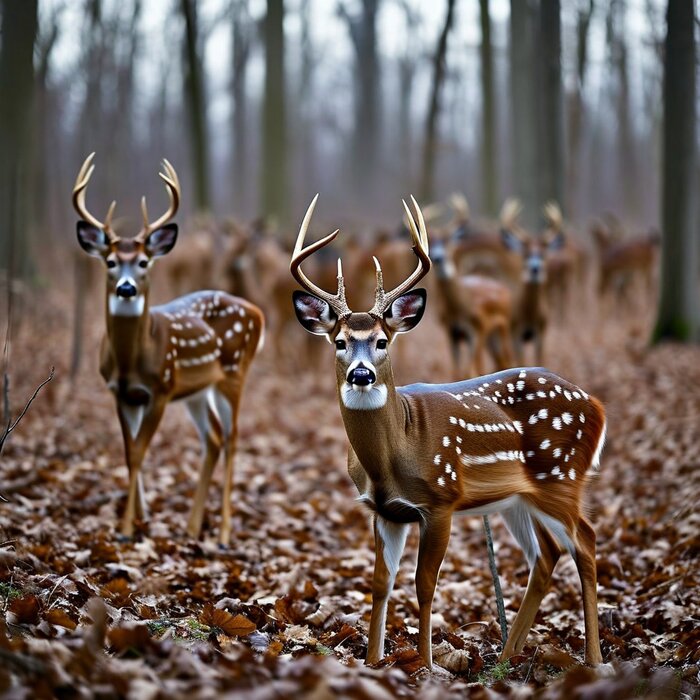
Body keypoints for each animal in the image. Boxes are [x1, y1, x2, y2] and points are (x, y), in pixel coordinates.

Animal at [73, 153, 266, 548]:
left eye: (144, 262)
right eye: (110, 261)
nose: (127, 288)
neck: (131, 361)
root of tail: (257, 311)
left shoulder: (160, 388)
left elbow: (139, 451)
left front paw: (126, 529)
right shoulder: (121, 393)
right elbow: (129, 452)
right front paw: (137, 520)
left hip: (233, 374)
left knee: (233, 438)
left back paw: (223, 534)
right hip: (197, 391)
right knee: (213, 438)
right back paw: (192, 527)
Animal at [430, 235, 516, 378]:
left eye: (448, 244)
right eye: (430, 248)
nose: (438, 258)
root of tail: (505, 290)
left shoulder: (477, 330)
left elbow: (471, 371)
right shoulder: (452, 332)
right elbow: (456, 372)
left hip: (502, 327)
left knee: (507, 359)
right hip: (490, 337)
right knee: (499, 361)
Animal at [500, 200, 568, 366]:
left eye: (542, 254)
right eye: (526, 254)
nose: (535, 268)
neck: (529, 314)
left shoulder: (541, 331)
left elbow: (540, 359)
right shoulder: (516, 332)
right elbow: (521, 361)